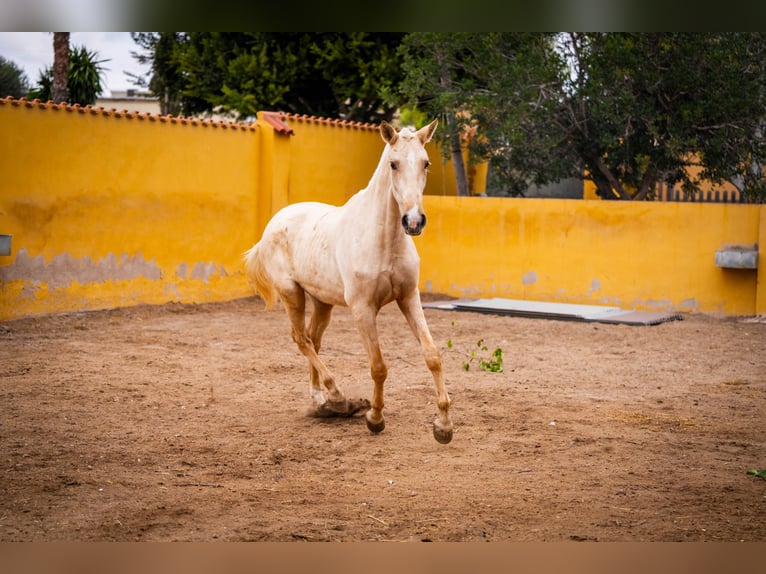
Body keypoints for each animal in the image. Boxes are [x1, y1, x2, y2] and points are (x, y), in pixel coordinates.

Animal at [246, 120, 452, 446]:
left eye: (426, 163)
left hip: (322, 303)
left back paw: (321, 400)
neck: (383, 240)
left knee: (313, 340)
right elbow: (378, 367)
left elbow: (432, 355)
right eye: (393, 164)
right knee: (301, 339)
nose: (413, 221)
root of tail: (273, 224)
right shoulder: (362, 309)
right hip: (292, 295)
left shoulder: (409, 297)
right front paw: (375, 418)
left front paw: (443, 425)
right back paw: (338, 396)